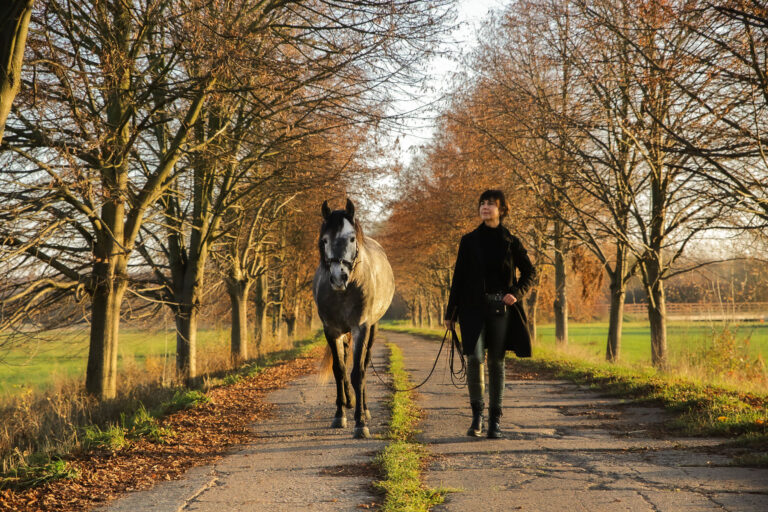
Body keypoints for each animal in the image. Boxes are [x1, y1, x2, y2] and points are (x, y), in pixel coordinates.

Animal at [313, 199, 395, 438]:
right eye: (324, 240)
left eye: (351, 238)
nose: (338, 277)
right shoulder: (331, 330)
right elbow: (339, 370)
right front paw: (340, 414)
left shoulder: (361, 328)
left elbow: (358, 372)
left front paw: (360, 423)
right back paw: (348, 402)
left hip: (372, 329)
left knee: (365, 365)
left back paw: (364, 409)